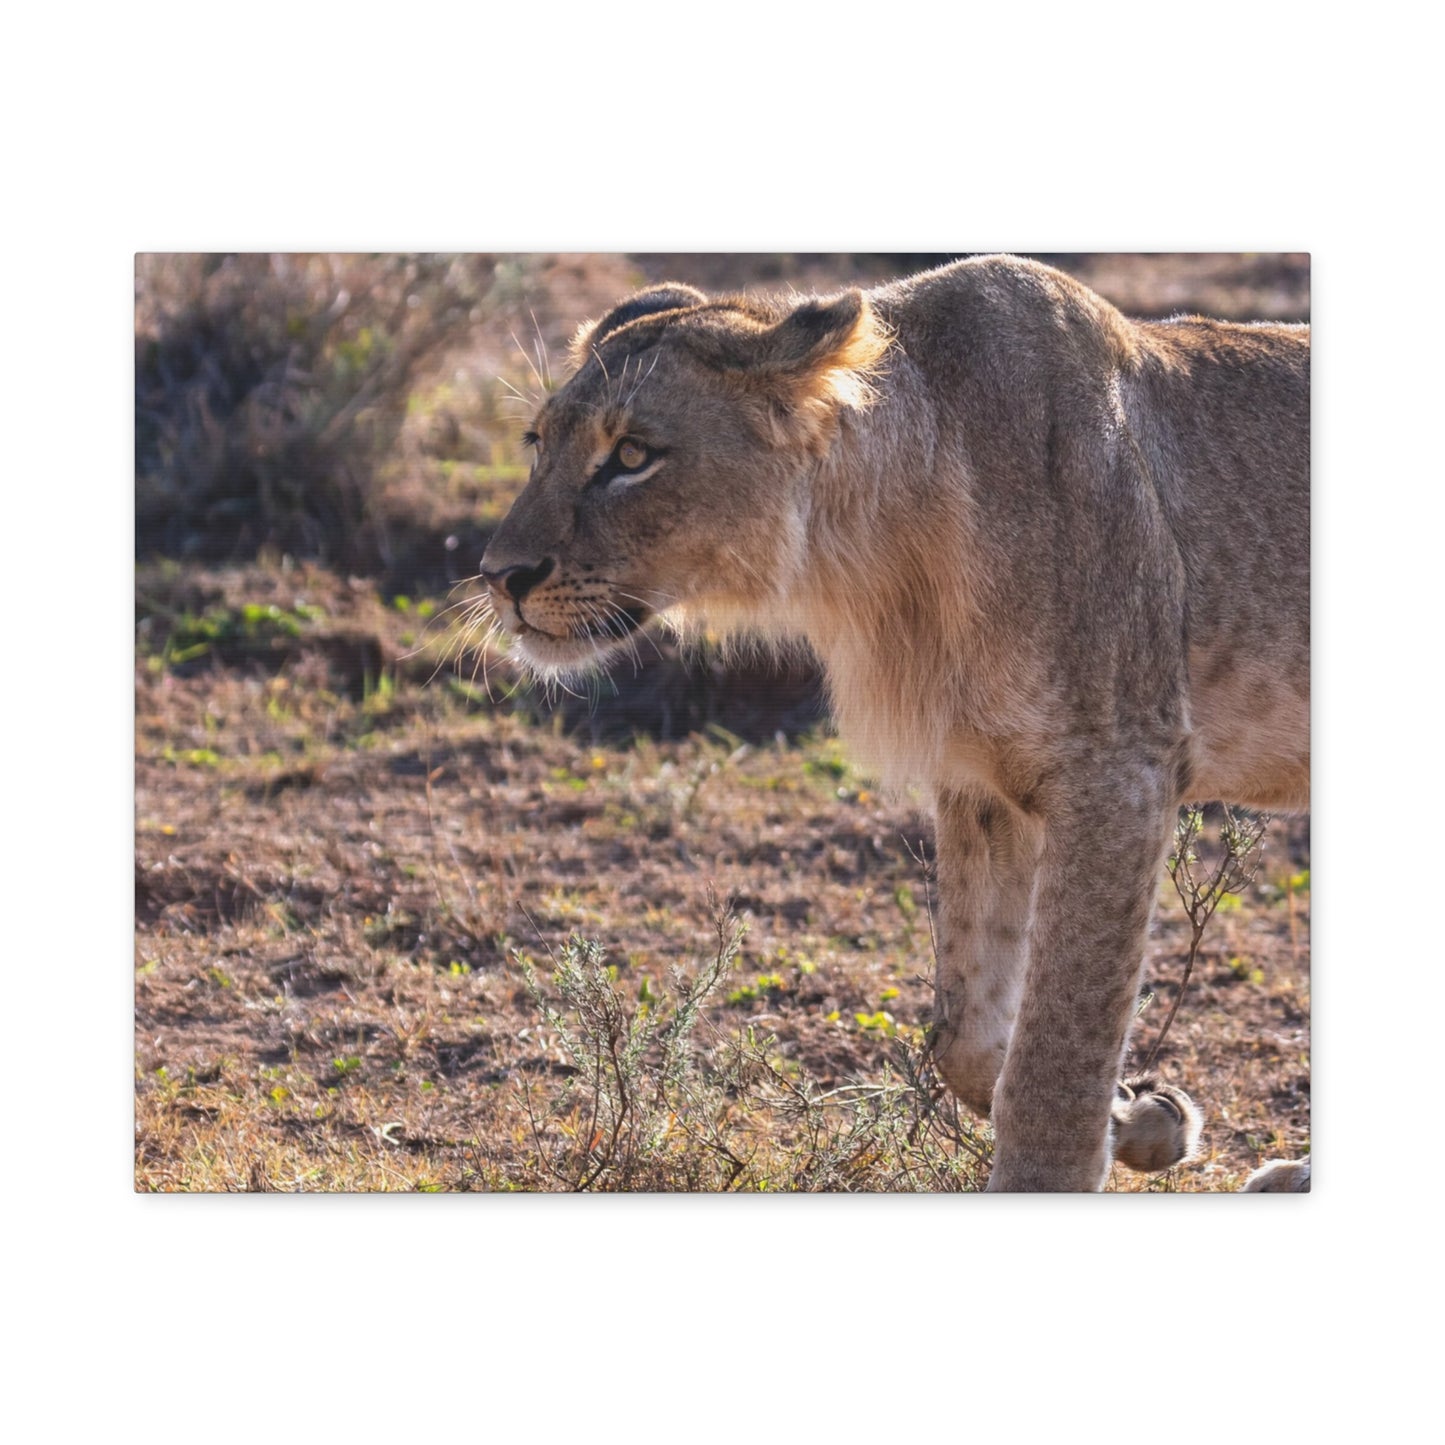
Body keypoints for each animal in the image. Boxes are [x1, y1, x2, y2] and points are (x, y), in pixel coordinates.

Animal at [478, 255, 1310, 1192]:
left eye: (630, 456)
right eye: (537, 443)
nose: (498, 575)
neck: (877, 560)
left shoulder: (1119, 769)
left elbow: (1057, 1050)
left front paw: (1060, 1162)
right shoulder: (981, 782)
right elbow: (971, 1036)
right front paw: (1142, 1118)